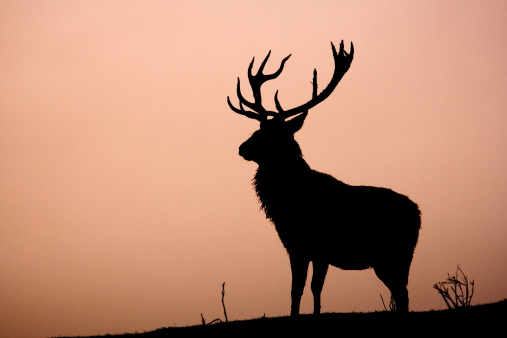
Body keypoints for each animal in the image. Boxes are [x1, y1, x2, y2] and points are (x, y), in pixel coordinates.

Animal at [228, 41, 422, 316]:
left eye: (273, 134)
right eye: (258, 129)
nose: (242, 148)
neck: (285, 203)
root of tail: (418, 214)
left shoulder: (316, 247)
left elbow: (310, 287)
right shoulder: (296, 246)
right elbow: (299, 289)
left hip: (393, 254)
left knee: (402, 294)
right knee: (401, 293)